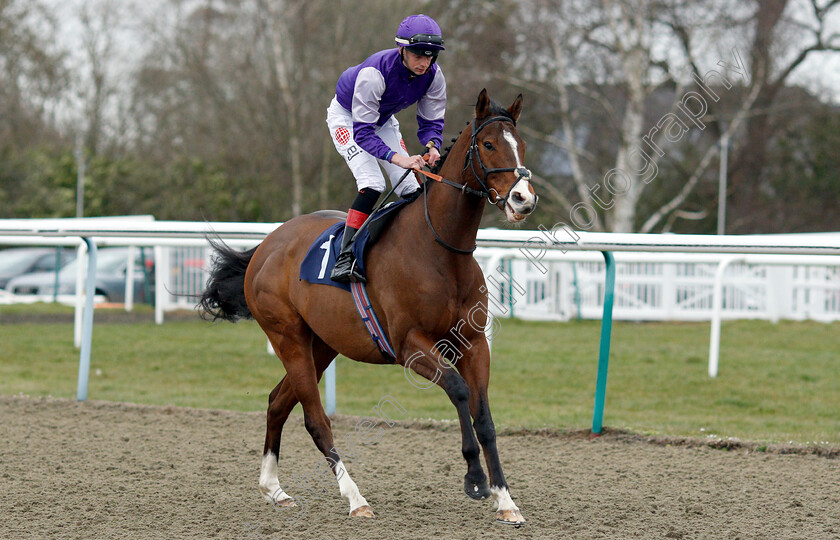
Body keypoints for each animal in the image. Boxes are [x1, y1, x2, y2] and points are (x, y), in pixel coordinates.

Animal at [198, 90, 540, 524]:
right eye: (489, 144)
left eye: (522, 145)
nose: (523, 198)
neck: (439, 251)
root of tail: (266, 246)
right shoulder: (410, 346)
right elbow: (459, 391)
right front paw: (475, 479)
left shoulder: (475, 345)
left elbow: (485, 418)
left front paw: (505, 499)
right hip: (287, 336)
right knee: (315, 419)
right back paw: (355, 498)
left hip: (322, 344)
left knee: (277, 402)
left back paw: (274, 488)